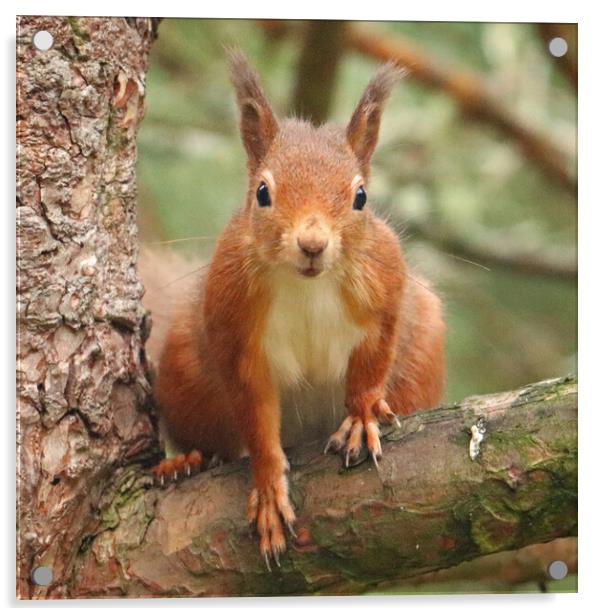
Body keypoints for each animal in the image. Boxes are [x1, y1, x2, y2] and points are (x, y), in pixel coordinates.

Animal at [147, 50, 442, 564]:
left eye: (360, 197)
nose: (312, 244)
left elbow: (372, 364)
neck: (308, 287)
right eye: (263, 193)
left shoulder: (386, 294)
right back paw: (186, 460)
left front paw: (362, 416)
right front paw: (268, 489)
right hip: (186, 368)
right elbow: (257, 421)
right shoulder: (235, 333)